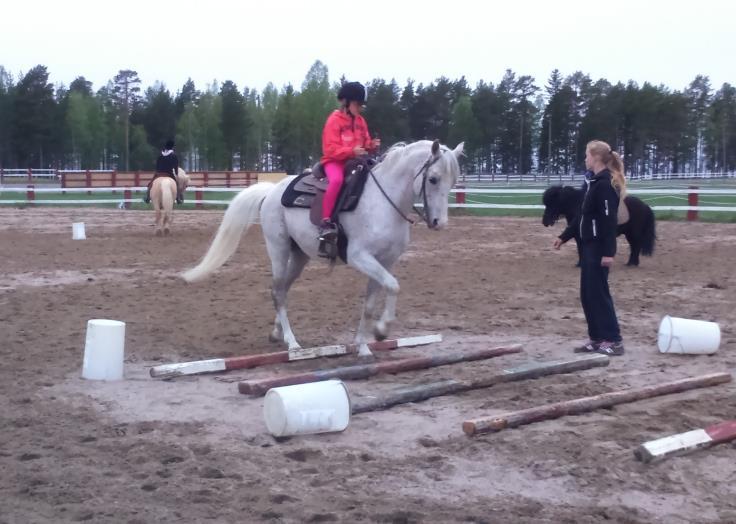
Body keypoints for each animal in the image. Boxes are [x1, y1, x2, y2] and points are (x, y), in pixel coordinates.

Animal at [182, 140, 462, 356]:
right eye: (433, 179)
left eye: (453, 182)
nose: (439, 223)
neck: (383, 202)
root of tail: (272, 191)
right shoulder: (360, 257)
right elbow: (393, 285)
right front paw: (382, 331)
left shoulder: (385, 261)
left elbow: (372, 302)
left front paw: (363, 346)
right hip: (278, 249)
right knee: (277, 292)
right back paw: (292, 343)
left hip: (299, 256)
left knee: (282, 290)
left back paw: (277, 334)